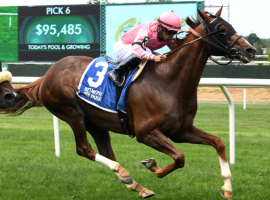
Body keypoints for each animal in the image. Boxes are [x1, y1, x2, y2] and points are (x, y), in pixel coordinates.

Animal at [1, 7, 255, 198]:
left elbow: (218, 142)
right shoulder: (146, 132)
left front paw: (227, 188)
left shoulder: (181, 131)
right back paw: (126, 175)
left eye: (230, 26)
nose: (250, 50)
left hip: (97, 122)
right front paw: (152, 165)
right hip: (72, 112)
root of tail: (48, 74)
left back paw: (133, 182)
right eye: (221, 30)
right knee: (85, 149)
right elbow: (179, 158)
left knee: (106, 152)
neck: (170, 81)